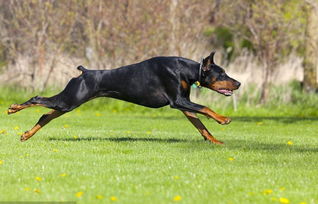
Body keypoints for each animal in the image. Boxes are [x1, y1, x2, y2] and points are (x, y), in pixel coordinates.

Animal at [7, 51, 240, 143]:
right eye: (222, 74)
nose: (238, 83)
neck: (186, 70)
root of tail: (85, 72)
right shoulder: (178, 101)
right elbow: (206, 109)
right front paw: (224, 119)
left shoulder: (183, 104)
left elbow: (201, 125)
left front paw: (216, 141)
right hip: (69, 100)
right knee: (37, 99)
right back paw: (13, 108)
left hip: (68, 103)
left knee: (45, 116)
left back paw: (26, 135)